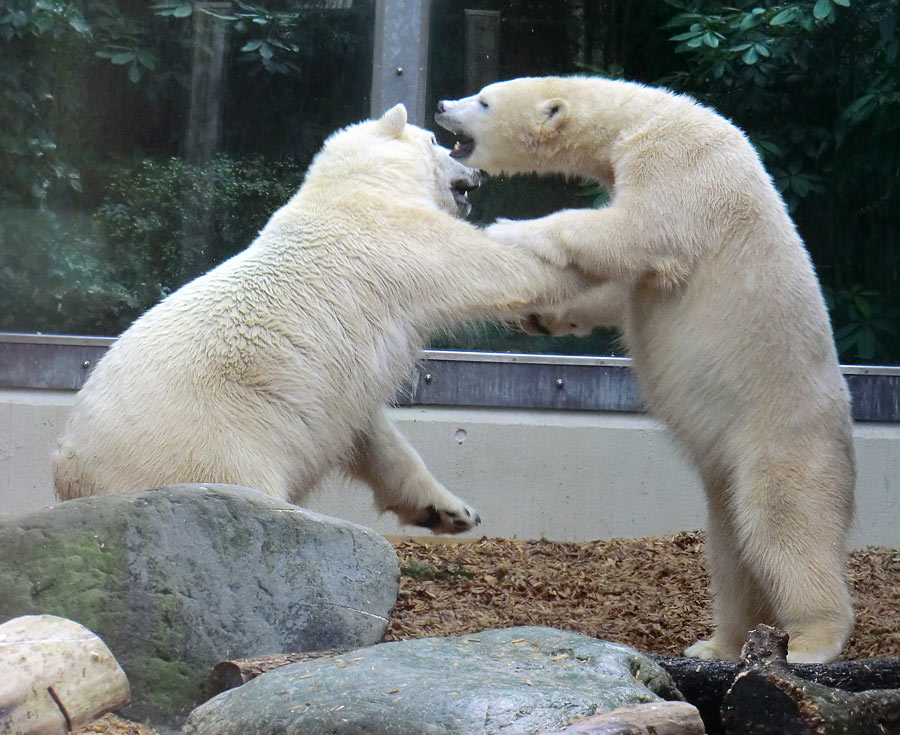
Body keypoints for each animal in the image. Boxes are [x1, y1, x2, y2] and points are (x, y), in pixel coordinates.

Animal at [58, 103, 592, 536]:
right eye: (435, 141)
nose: (475, 172)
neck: (354, 189)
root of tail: (71, 476)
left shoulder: (342, 392)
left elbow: (372, 435)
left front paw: (450, 510)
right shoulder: (397, 241)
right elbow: (490, 268)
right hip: (208, 443)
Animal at [438, 77, 856, 664]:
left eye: (483, 100)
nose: (441, 106)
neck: (645, 117)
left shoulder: (681, 166)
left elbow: (634, 231)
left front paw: (507, 229)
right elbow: (622, 282)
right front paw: (541, 315)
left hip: (782, 442)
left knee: (785, 529)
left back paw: (811, 642)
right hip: (729, 473)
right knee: (731, 549)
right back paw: (715, 643)